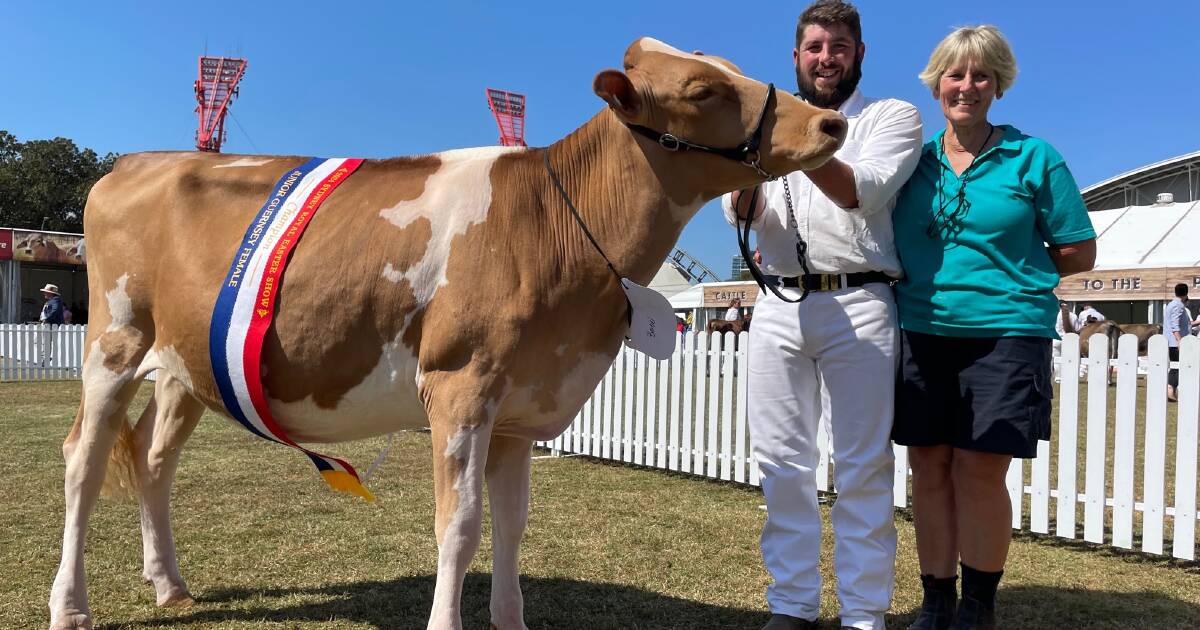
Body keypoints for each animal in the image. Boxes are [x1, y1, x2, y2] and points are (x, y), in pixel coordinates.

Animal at [46, 38, 844, 628]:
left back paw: (169, 586)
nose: (829, 124)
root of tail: (136, 161)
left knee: (154, 463)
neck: (559, 226)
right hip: (114, 343)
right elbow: (458, 526)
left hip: (187, 368)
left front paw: (512, 621)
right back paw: (70, 607)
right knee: (83, 461)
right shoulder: (461, 388)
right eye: (703, 90)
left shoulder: (522, 408)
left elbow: (513, 525)